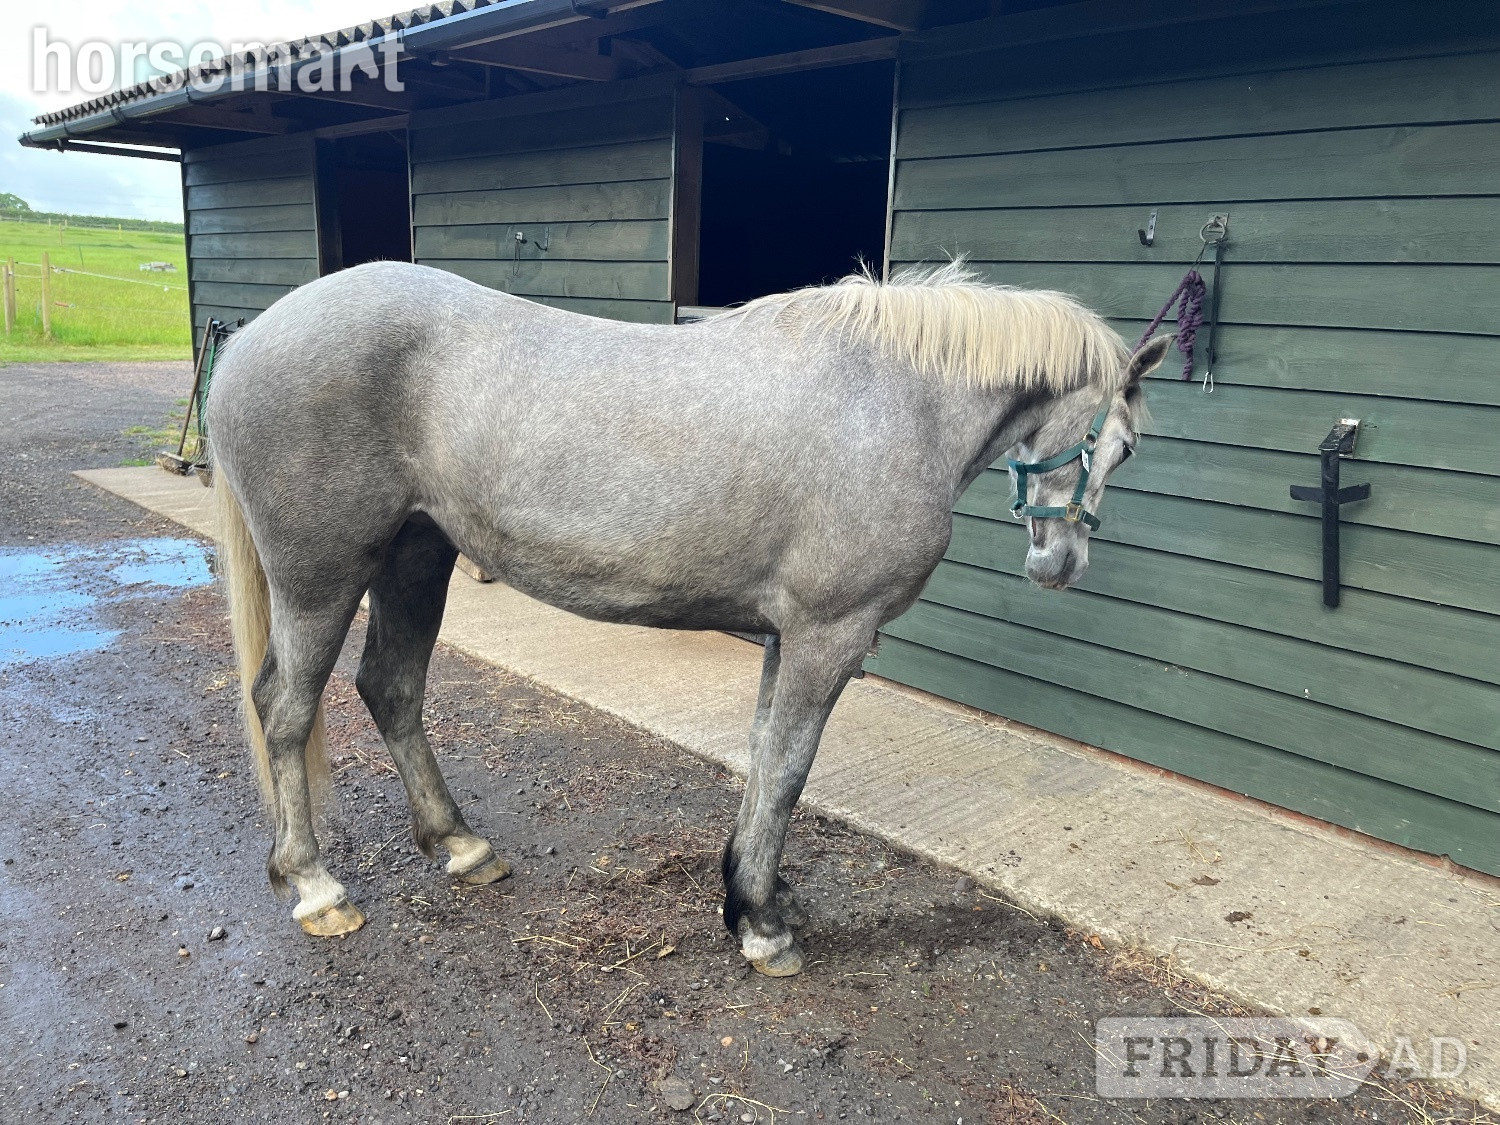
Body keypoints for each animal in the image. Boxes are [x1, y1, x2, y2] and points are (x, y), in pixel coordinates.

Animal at [206, 259, 1171, 976]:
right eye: (1121, 444)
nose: (1061, 565)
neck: (890, 401)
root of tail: (252, 338)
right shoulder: (830, 634)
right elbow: (789, 769)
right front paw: (761, 927)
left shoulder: (787, 635)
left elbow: (763, 758)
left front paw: (753, 895)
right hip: (321, 577)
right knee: (287, 709)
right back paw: (316, 886)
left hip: (416, 556)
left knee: (392, 689)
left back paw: (461, 844)